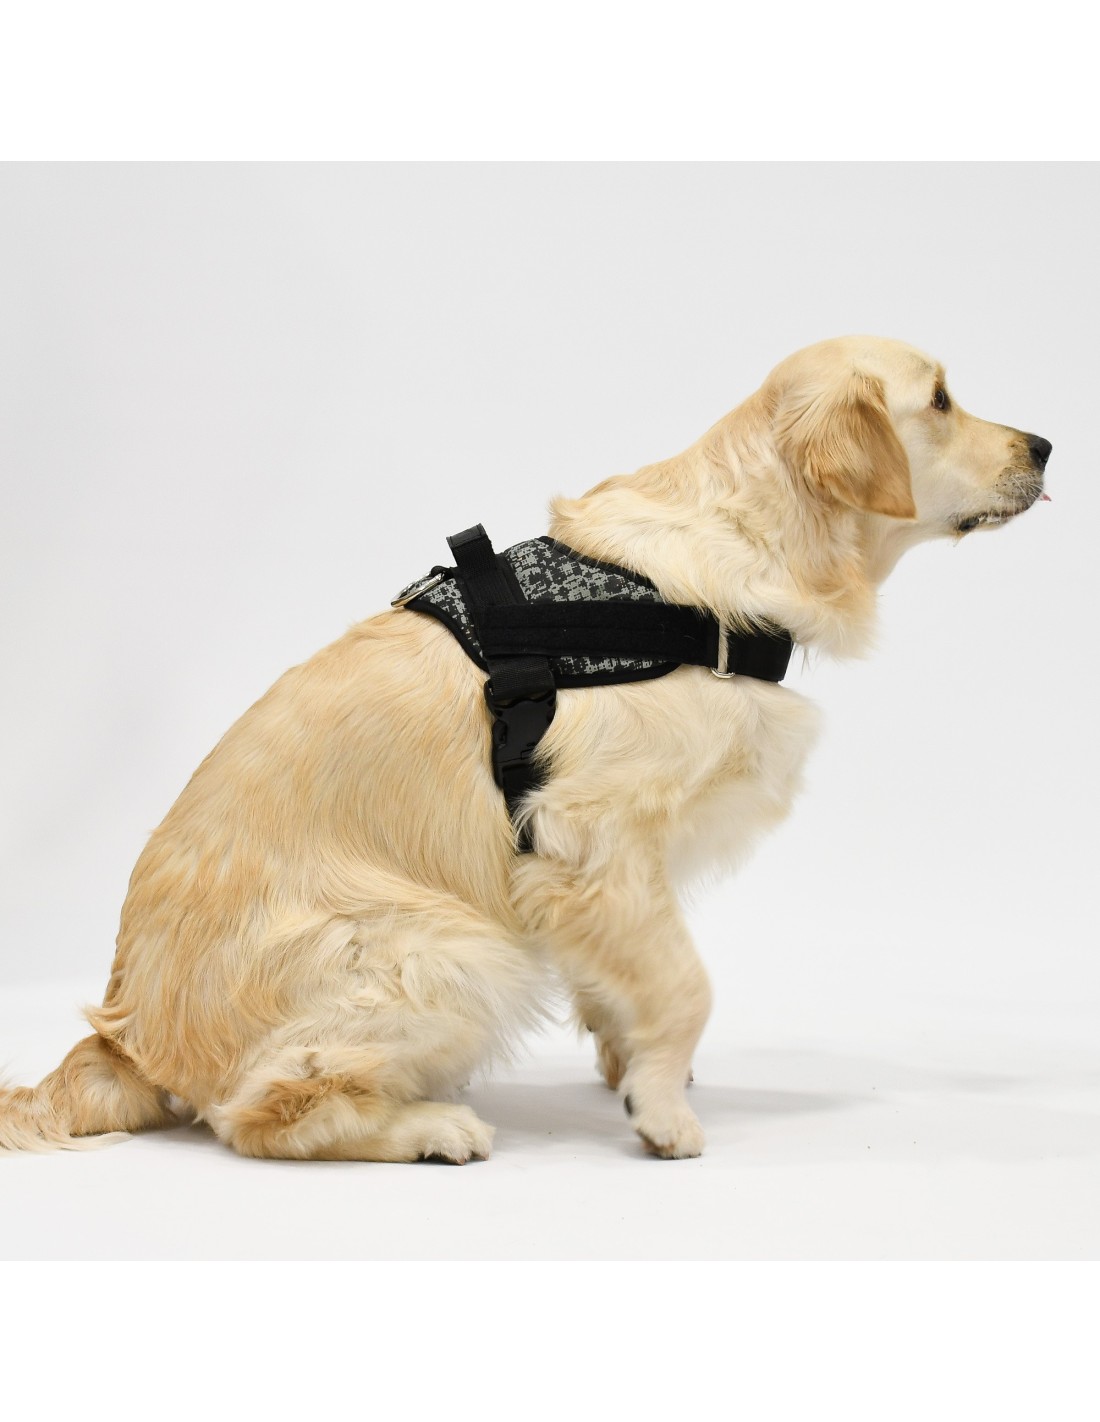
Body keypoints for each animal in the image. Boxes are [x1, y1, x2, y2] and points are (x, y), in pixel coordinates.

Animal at [0, 336, 1051, 1162]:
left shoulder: (593, 875)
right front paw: (661, 1113)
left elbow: (633, 977)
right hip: (455, 949)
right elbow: (687, 984)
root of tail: (127, 1033)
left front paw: (632, 1064)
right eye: (942, 399)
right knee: (257, 1114)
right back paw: (430, 1128)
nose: (1045, 444)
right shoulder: (589, 832)